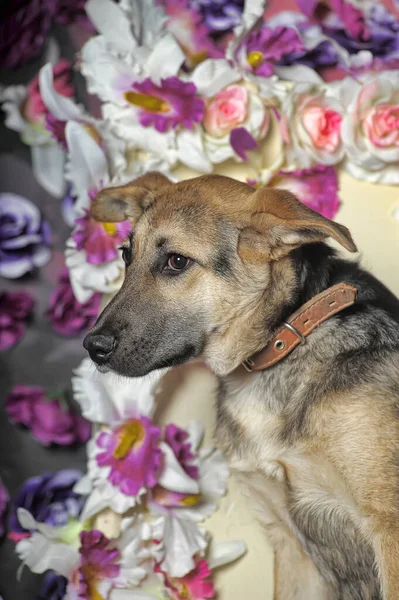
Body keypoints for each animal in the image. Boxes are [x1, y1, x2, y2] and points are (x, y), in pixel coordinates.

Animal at [83, 172, 399, 600]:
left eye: (176, 261)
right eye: (124, 255)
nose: (92, 347)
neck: (284, 336)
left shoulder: (388, 528)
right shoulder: (293, 547)